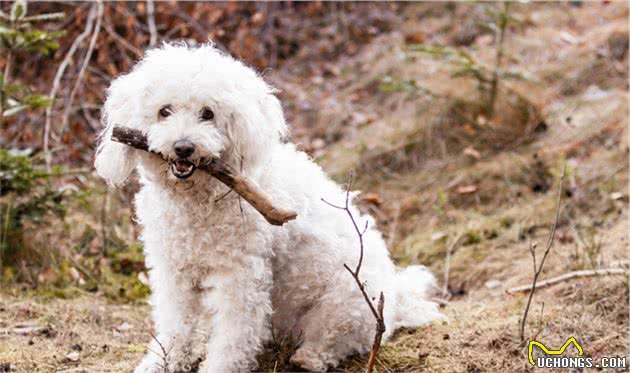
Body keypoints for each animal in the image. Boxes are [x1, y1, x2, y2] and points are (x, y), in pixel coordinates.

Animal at [96, 44, 444, 372]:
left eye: (208, 113)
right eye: (164, 111)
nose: (183, 147)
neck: (197, 201)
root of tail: (398, 296)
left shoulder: (240, 277)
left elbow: (233, 336)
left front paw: (220, 367)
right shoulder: (174, 271)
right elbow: (175, 325)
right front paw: (161, 362)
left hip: (347, 301)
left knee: (335, 339)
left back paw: (310, 357)